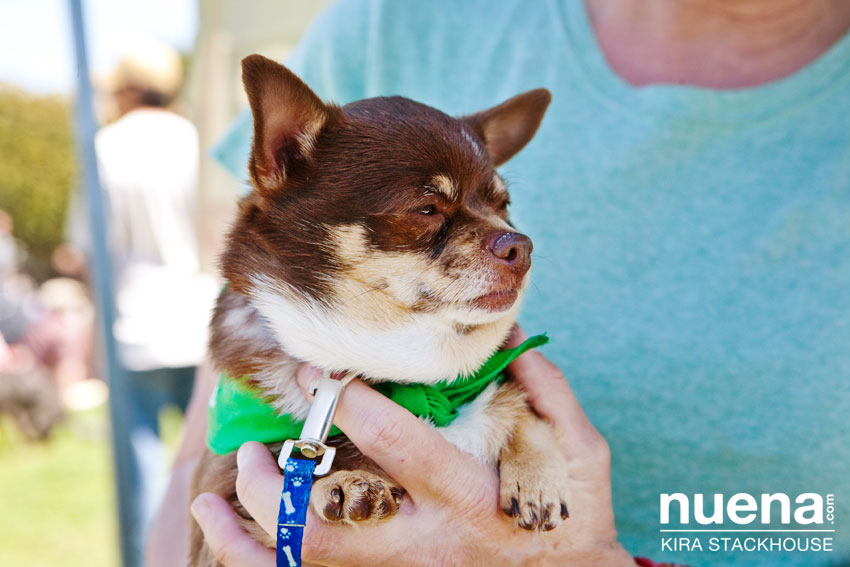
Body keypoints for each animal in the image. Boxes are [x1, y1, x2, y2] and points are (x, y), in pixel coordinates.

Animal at [189, 54, 568, 567]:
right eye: (426, 208)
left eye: (504, 206)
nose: (521, 245)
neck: (417, 376)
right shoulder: (225, 498)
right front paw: (344, 482)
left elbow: (526, 409)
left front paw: (538, 475)